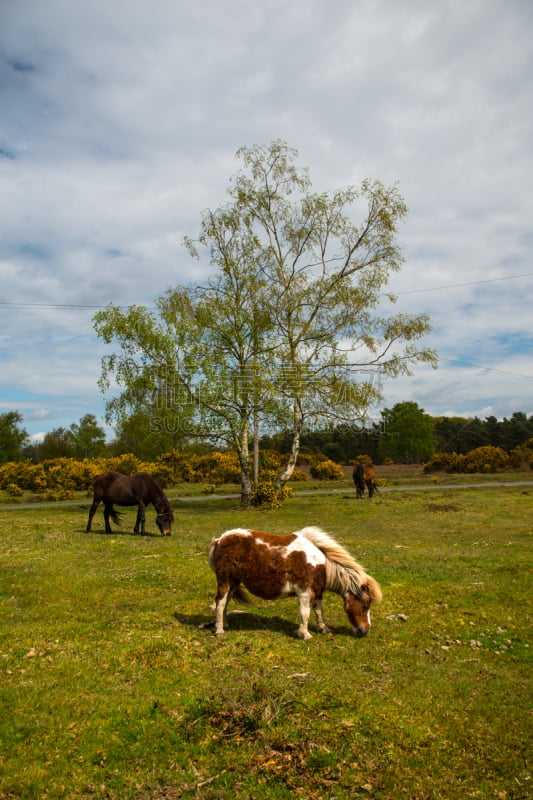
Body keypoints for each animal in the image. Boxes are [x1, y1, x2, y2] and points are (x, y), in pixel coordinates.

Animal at [205, 528, 382, 640]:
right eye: (365, 606)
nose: (365, 630)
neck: (320, 565)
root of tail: (220, 540)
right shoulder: (304, 593)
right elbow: (305, 614)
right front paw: (305, 634)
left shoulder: (317, 592)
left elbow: (319, 611)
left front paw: (323, 629)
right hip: (225, 581)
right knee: (220, 603)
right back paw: (219, 630)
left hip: (233, 583)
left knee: (225, 603)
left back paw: (225, 624)